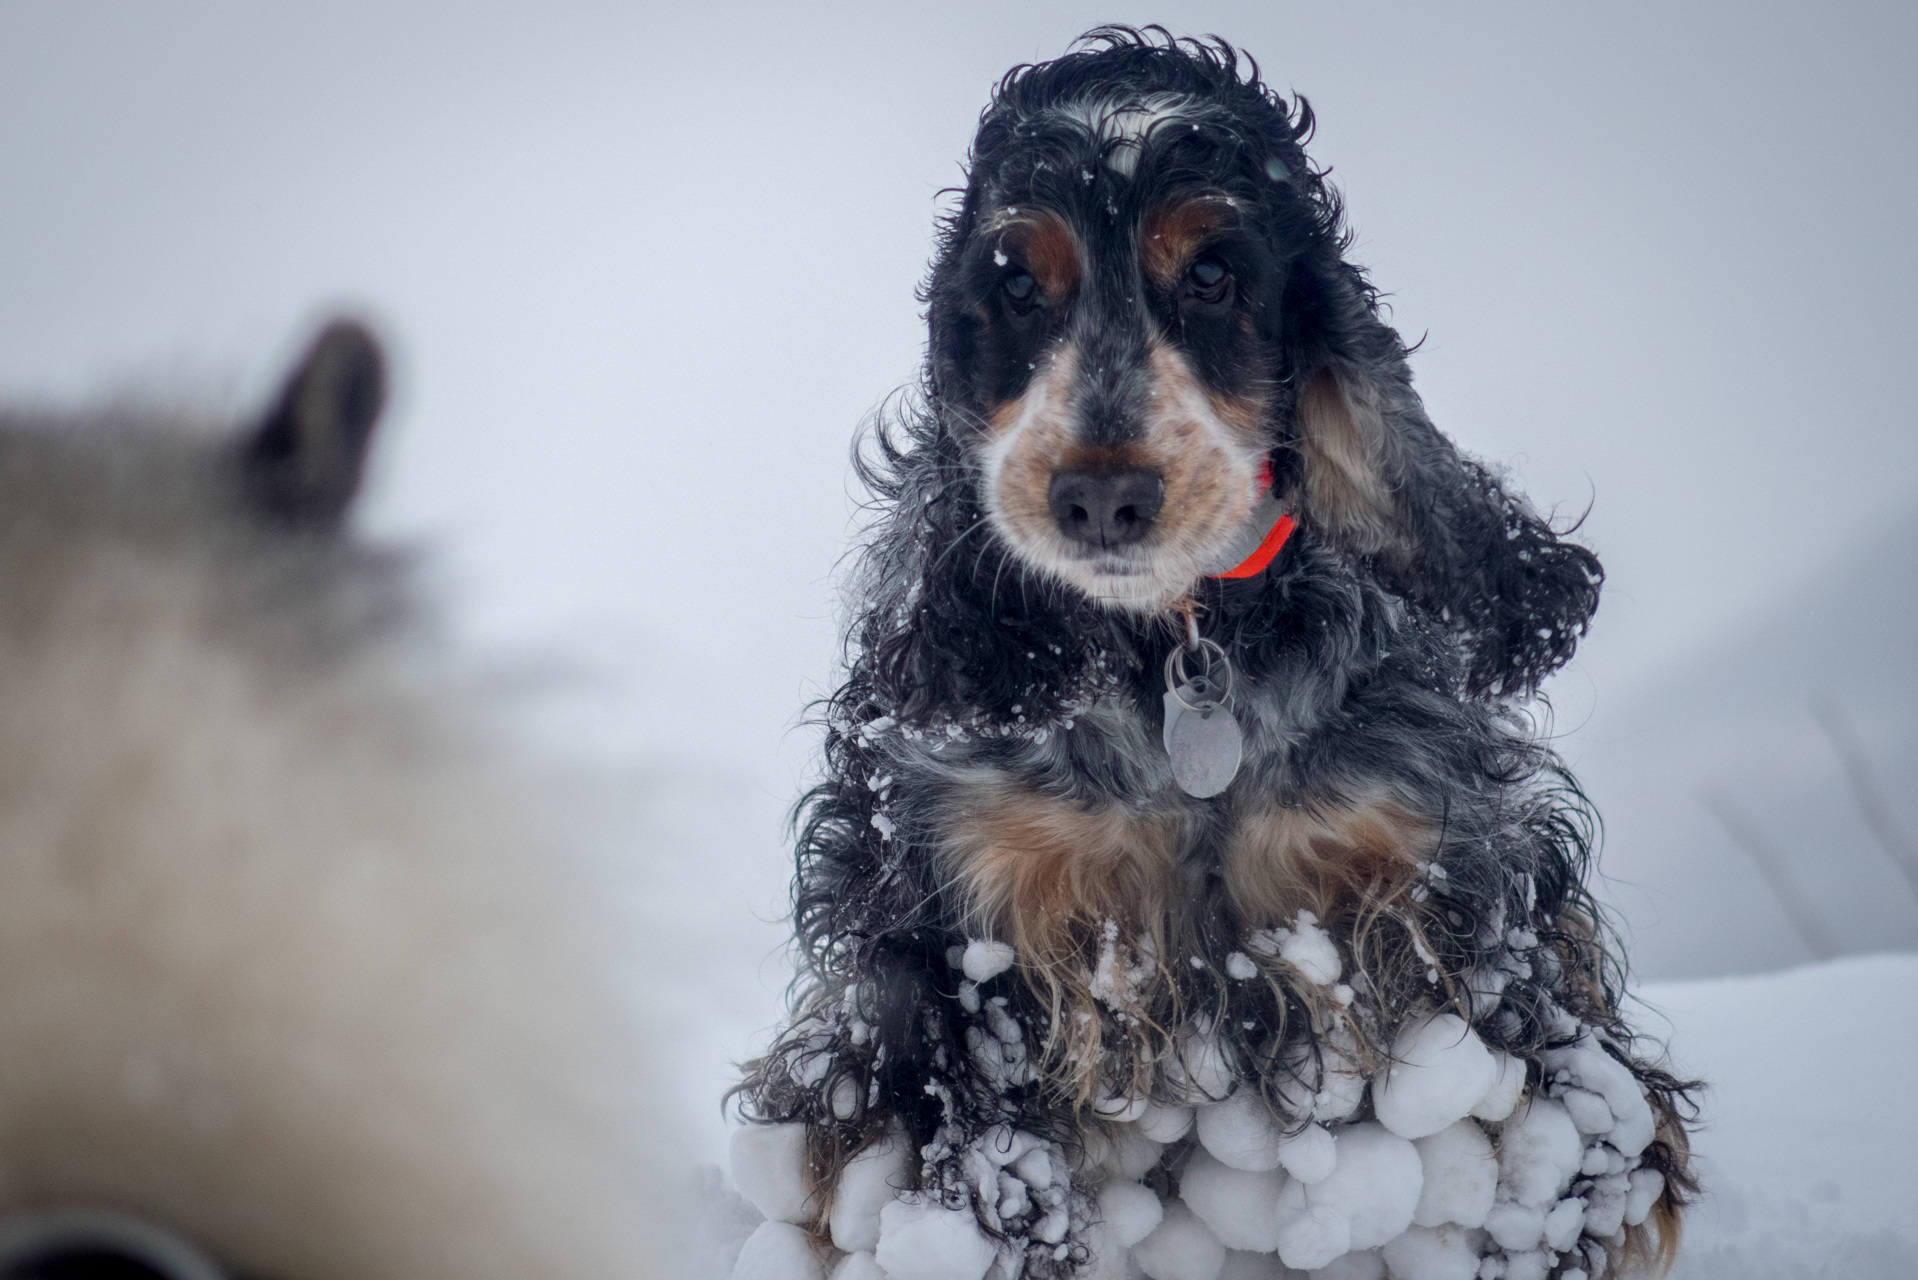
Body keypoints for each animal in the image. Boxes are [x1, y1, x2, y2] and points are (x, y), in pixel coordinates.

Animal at [732, 27, 1695, 1280]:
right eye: (1014, 285)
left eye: (1211, 274)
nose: (1099, 495)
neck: (1175, 657)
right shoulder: (970, 932)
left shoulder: (1436, 874)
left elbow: (1558, 1116)